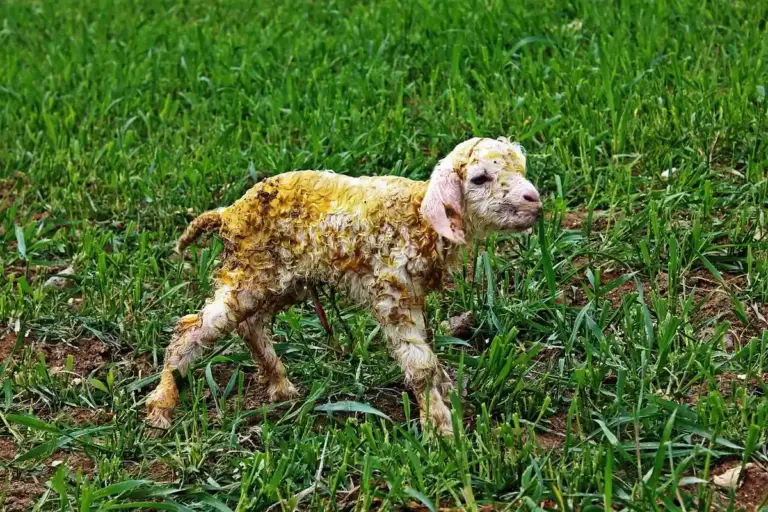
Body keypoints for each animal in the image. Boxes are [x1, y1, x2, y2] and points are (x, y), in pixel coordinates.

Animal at [145, 137, 542, 436]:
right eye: (479, 178)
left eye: (521, 169)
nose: (534, 200)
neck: (417, 217)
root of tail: (227, 213)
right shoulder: (392, 295)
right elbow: (420, 365)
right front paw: (441, 429)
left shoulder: (412, 295)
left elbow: (429, 352)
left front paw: (448, 391)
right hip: (248, 275)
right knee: (192, 328)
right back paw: (162, 406)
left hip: (281, 278)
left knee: (250, 325)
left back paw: (280, 386)